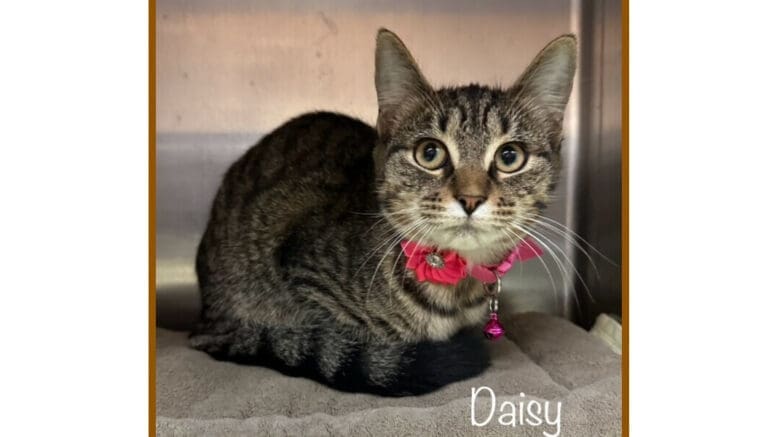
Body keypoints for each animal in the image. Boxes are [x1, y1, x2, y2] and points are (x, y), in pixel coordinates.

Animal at [189, 27, 576, 396]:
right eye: (429, 153)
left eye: (510, 156)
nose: (470, 198)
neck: (453, 287)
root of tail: (206, 318)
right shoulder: (304, 272)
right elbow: (336, 338)